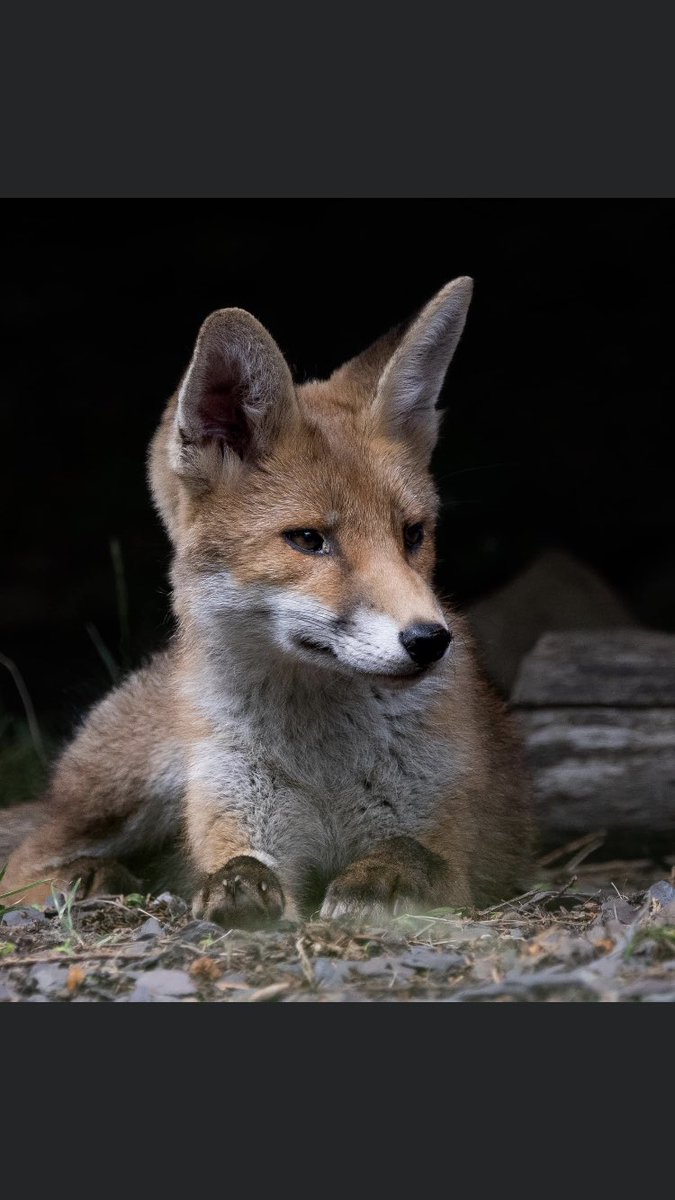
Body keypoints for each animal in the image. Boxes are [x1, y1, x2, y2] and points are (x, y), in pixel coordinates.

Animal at [1, 277, 532, 927]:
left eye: (412, 534)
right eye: (308, 540)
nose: (430, 641)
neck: (324, 766)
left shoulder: (450, 848)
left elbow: (415, 855)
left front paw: (379, 880)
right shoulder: (237, 811)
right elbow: (237, 868)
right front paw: (234, 892)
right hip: (132, 787)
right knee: (26, 859)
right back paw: (94, 879)